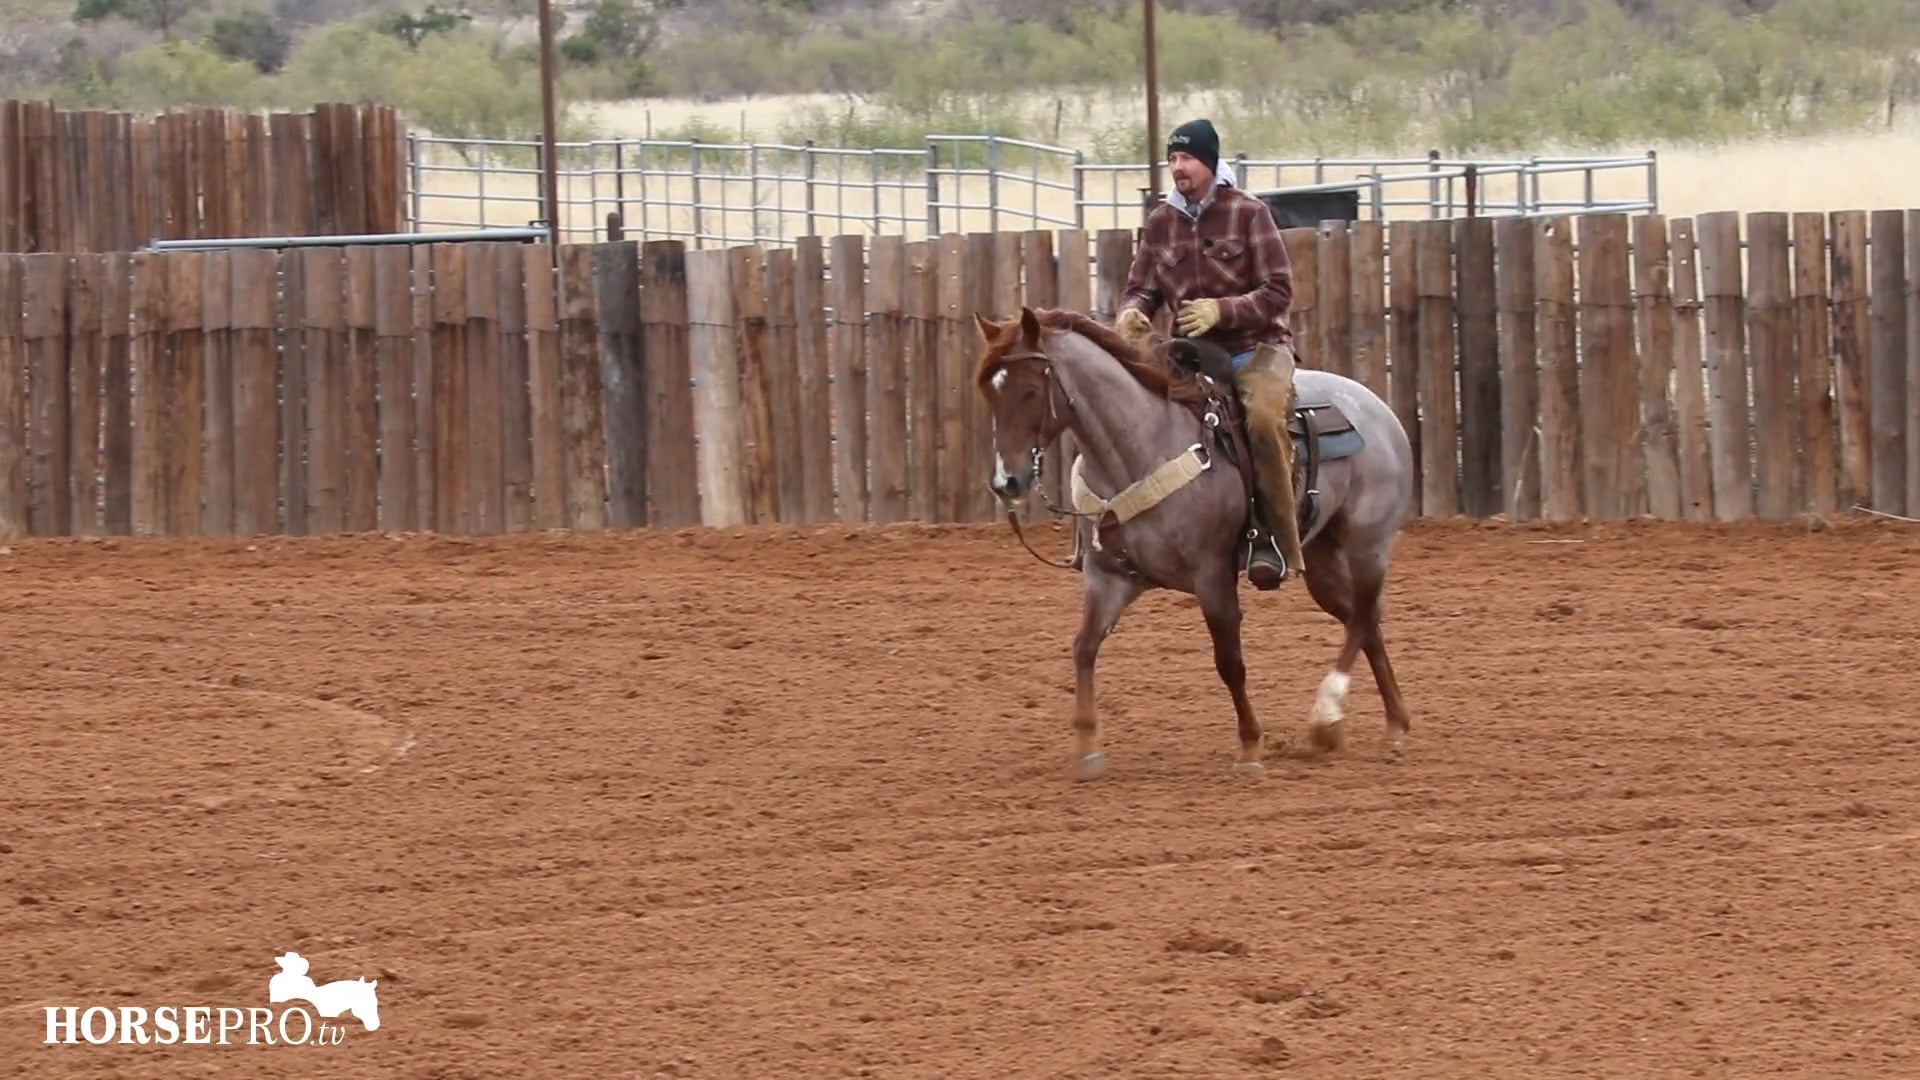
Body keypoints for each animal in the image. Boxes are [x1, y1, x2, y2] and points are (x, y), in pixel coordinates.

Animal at [973, 305, 1416, 781]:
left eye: (1030, 391)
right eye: (991, 395)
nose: (1006, 482)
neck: (1142, 447)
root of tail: (1380, 410)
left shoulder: (1212, 576)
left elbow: (1229, 661)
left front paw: (1250, 747)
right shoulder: (1108, 577)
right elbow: (1084, 648)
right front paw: (1087, 747)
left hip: (1367, 543)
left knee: (1363, 615)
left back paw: (1327, 714)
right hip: (1319, 559)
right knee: (1364, 621)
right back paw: (1392, 724)